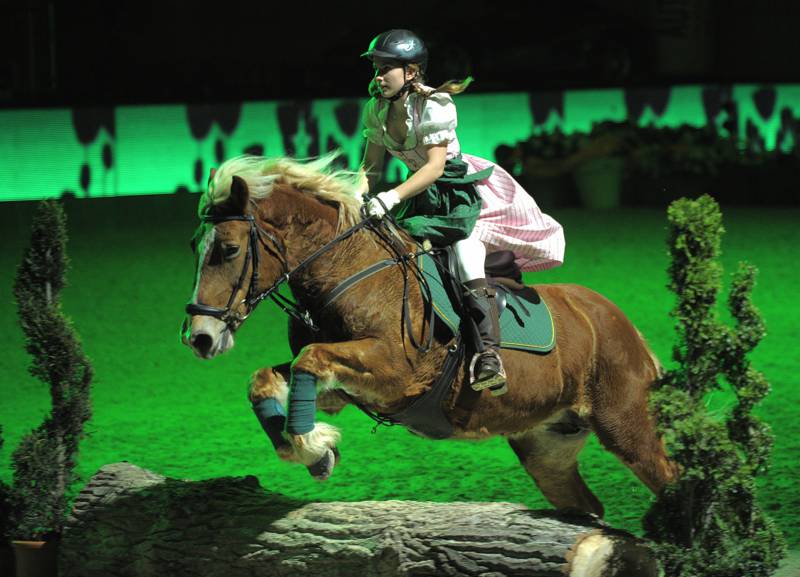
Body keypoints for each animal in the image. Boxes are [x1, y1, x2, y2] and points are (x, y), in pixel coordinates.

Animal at [181, 153, 676, 516]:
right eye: (194, 248)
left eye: (229, 249)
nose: (199, 338)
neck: (348, 270)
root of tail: (625, 326)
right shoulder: (343, 388)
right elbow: (266, 379)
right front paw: (312, 450)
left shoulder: (396, 373)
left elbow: (310, 358)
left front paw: (310, 445)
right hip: (547, 445)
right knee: (588, 507)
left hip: (626, 425)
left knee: (671, 481)